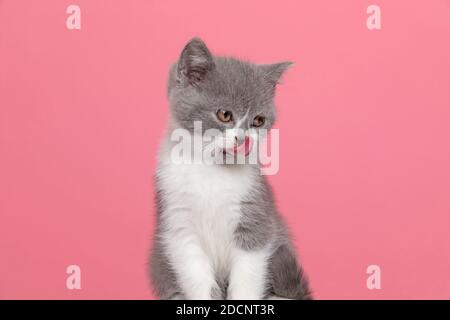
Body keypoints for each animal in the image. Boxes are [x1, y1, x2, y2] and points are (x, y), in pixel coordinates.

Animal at [149, 38, 312, 300]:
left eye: (258, 121)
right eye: (224, 114)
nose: (244, 139)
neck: (211, 169)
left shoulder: (255, 218)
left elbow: (248, 277)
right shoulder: (178, 222)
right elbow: (196, 276)